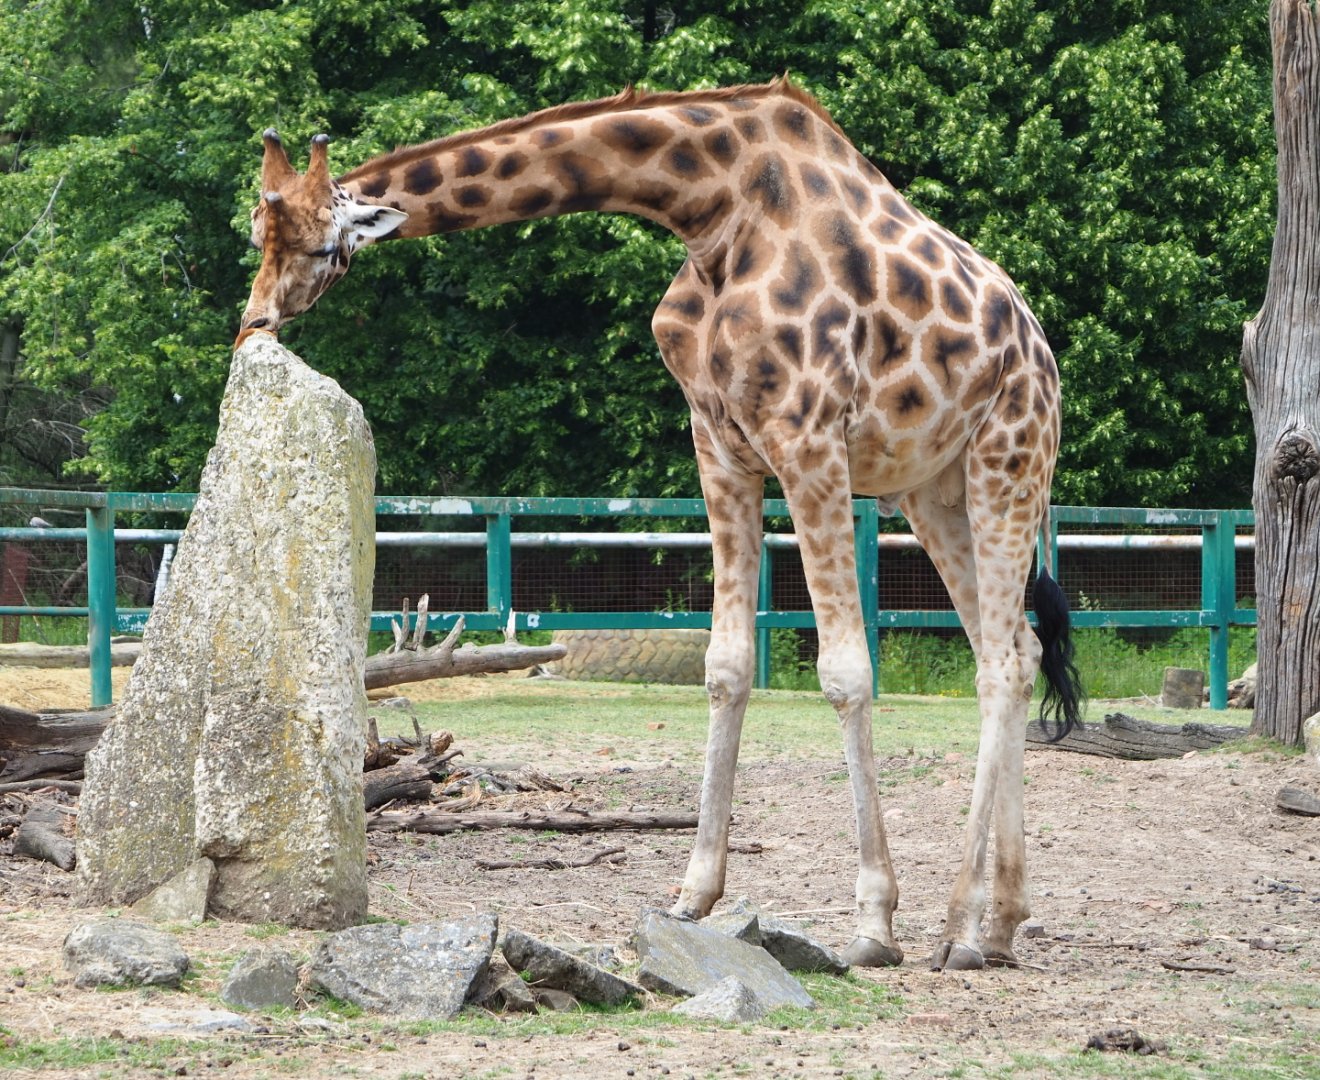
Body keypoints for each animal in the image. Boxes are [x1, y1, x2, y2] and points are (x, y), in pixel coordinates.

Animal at [240, 78, 1082, 971]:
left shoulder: (809, 440)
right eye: (257, 234)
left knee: (1001, 663)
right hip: (933, 491)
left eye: (323, 249)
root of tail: (1040, 350)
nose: (254, 322)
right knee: (1015, 651)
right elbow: (726, 666)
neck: (708, 208)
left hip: (1008, 461)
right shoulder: (720, 446)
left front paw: (873, 923)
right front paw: (693, 895)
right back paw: (1001, 922)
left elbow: (847, 673)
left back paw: (958, 927)